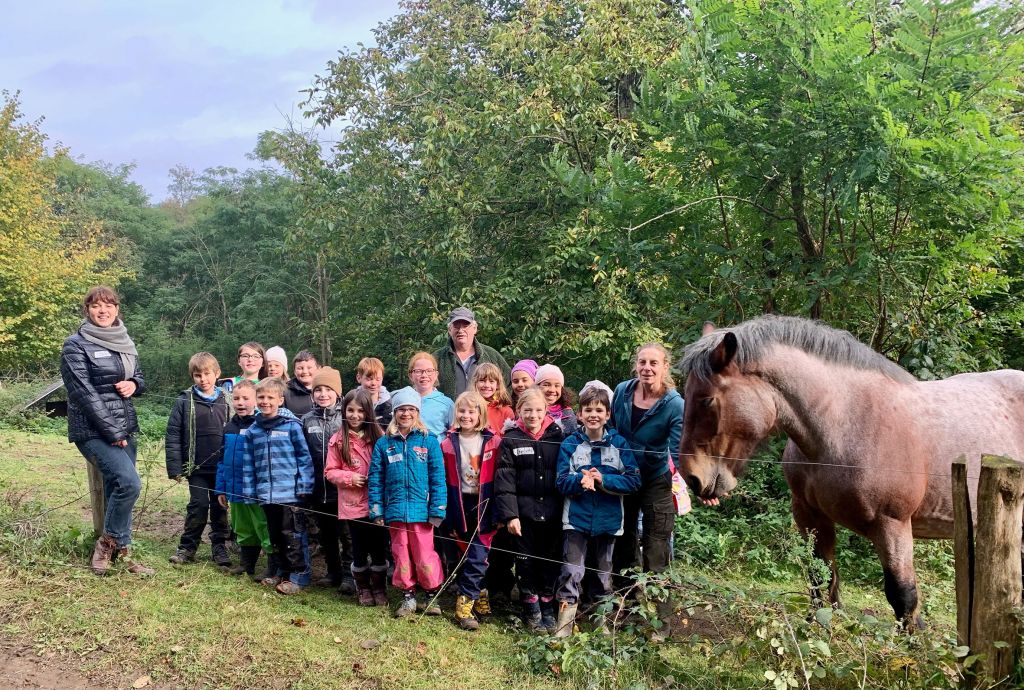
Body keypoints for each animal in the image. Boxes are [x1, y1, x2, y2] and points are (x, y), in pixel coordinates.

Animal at [679, 313, 1024, 622]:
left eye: (707, 400)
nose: (692, 477)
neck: (845, 423)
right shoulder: (810, 516)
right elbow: (821, 578)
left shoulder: (892, 525)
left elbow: (903, 597)